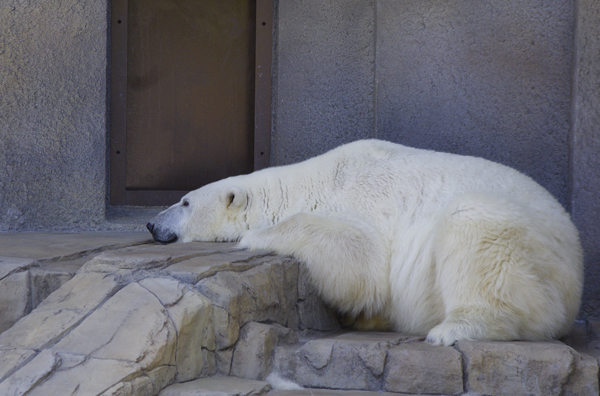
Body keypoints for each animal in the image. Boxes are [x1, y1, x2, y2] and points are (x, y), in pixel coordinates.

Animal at [148, 141, 584, 344]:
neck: (310, 181)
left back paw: (454, 328)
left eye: (185, 202)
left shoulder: (364, 198)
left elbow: (364, 260)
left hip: (535, 252)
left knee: (475, 227)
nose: (152, 223)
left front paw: (254, 236)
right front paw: (367, 317)